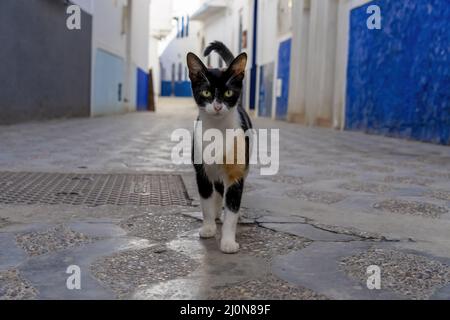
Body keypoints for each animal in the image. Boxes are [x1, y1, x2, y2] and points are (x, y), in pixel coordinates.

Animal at [186, 41, 253, 254]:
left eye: (228, 93)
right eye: (206, 92)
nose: (217, 106)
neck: (217, 131)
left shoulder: (236, 172)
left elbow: (232, 206)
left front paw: (228, 241)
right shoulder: (201, 171)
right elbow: (206, 201)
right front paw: (208, 227)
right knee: (216, 189)